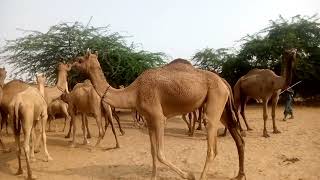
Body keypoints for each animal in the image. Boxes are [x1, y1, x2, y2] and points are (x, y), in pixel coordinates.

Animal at [72, 50, 245, 180]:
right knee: (229, 139)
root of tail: (224, 83)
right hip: (221, 107)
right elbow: (152, 151)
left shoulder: (159, 118)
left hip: (215, 99)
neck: (134, 92)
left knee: (211, 146)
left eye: (80, 60)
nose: (71, 64)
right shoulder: (149, 120)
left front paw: (188, 175)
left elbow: (161, 153)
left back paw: (202, 176)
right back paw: (238, 174)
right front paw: (153, 176)